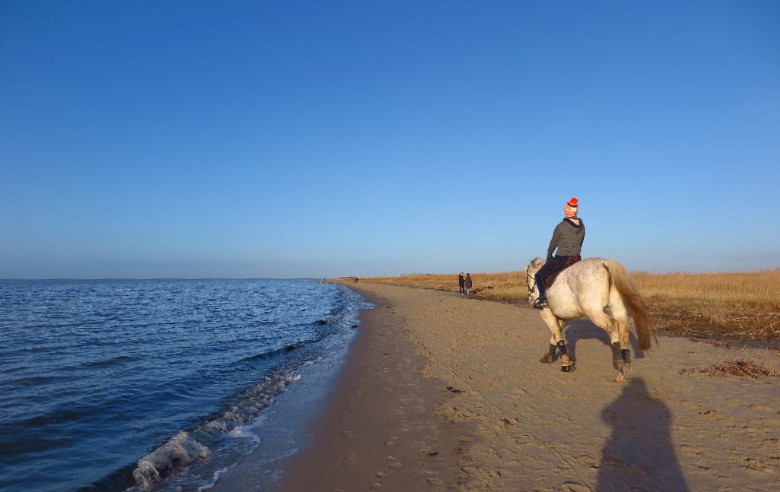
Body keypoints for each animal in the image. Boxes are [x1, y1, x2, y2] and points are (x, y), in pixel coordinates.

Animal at [524, 256, 652, 382]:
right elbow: (555, 336)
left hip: (594, 312)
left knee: (612, 326)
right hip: (617, 308)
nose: (530, 299)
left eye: (527, 277)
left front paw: (566, 364)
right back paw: (623, 368)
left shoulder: (546, 313)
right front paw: (550, 357)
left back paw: (618, 363)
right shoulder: (562, 317)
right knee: (624, 330)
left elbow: (557, 335)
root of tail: (604, 263)